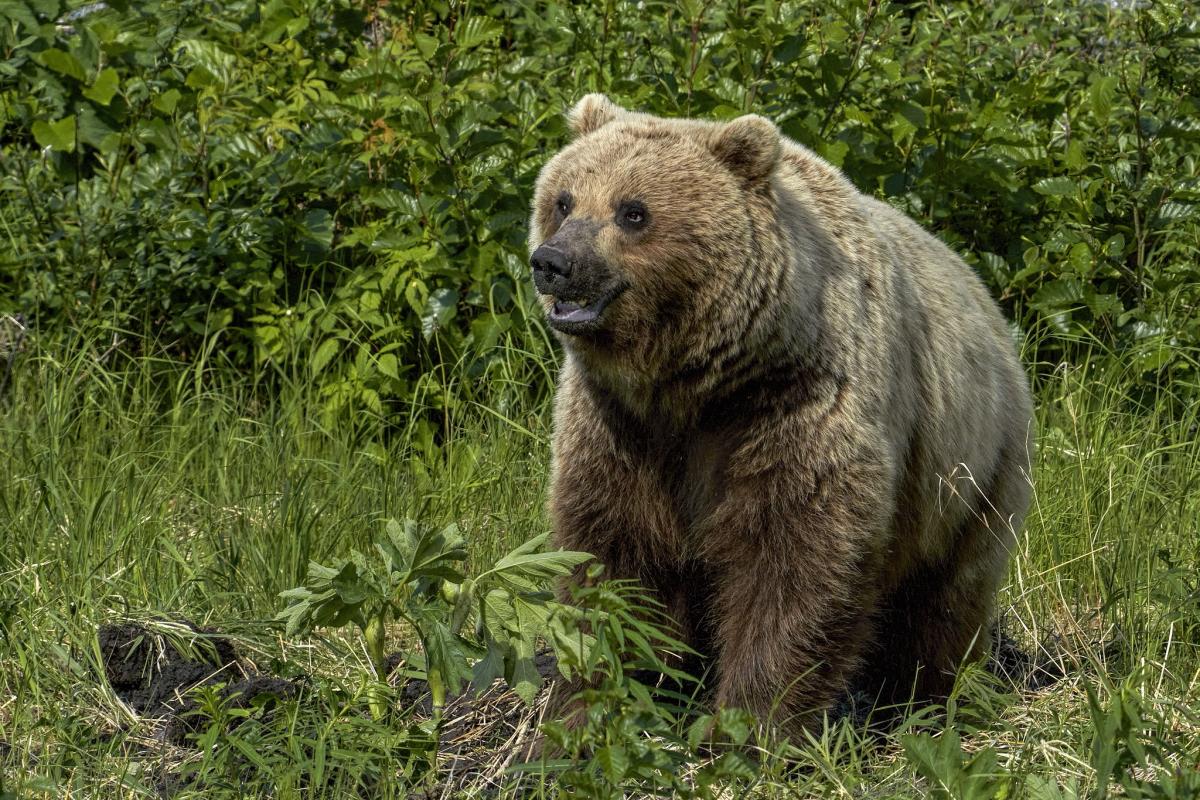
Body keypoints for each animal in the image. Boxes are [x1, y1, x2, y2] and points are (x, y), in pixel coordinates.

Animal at [530, 94, 1036, 734]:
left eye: (633, 211)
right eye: (564, 199)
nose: (552, 261)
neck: (694, 383)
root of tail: (990, 305)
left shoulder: (798, 402)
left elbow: (796, 558)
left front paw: (750, 724)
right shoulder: (620, 424)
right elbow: (614, 554)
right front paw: (589, 710)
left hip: (971, 472)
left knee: (943, 599)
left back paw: (925, 700)